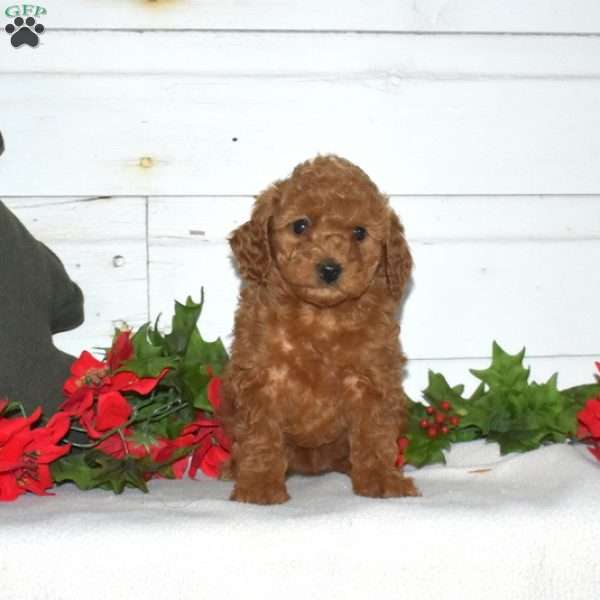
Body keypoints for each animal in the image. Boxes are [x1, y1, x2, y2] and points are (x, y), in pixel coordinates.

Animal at [218, 154, 420, 502]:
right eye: (300, 225)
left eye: (359, 232)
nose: (329, 268)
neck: (320, 317)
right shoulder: (261, 378)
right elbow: (261, 435)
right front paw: (259, 485)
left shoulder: (373, 379)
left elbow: (374, 434)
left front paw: (381, 478)